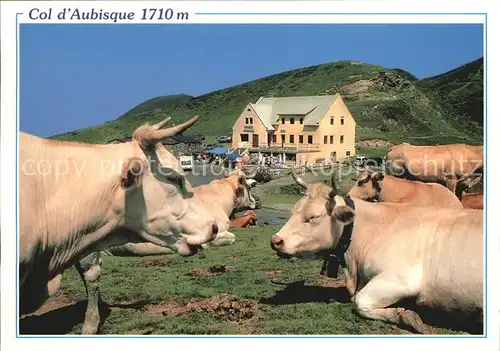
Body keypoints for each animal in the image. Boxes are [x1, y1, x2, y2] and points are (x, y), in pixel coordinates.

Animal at [270, 170, 484, 336]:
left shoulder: (400, 279)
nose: (276, 241)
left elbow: (359, 301)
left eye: (313, 217)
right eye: (293, 211)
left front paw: (406, 315)